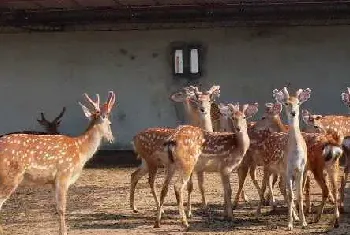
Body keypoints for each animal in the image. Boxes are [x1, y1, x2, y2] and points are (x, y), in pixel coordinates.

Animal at [0, 91, 116, 235]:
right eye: (110, 123)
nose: (112, 139)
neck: (80, 149)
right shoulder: (64, 173)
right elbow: (62, 208)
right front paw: (64, 232)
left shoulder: (53, 181)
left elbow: (56, 207)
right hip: (10, 176)